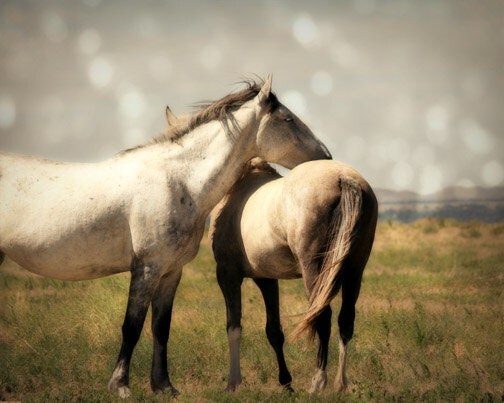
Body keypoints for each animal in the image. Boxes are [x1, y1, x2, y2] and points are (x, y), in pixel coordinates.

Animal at [0, 77, 330, 400]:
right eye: (287, 119)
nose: (325, 156)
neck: (177, 182)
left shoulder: (171, 272)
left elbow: (161, 328)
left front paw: (163, 386)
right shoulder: (147, 269)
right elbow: (132, 325)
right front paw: (120, 385)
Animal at [210, 159, 378, 394]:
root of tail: (344, 178)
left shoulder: (228, 275)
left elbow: (233, 327)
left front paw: (233, 383)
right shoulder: (266, 279)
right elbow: (273, 331)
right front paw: (286, 383)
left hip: (314, 271)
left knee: (322, 316)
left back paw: (318, 382)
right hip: (355, 270)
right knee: (345, 320)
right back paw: (340, 383)